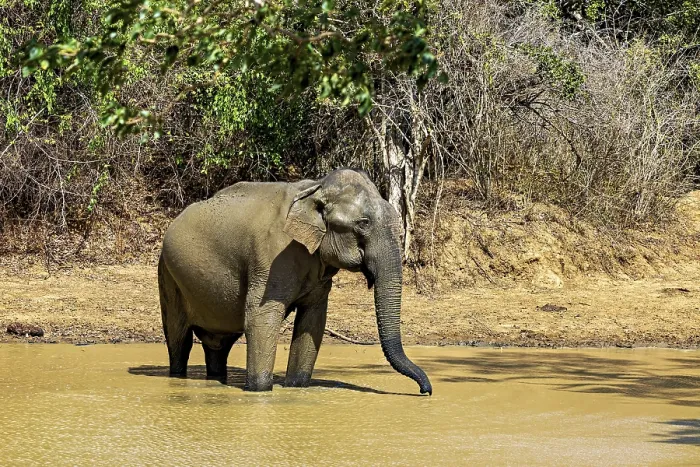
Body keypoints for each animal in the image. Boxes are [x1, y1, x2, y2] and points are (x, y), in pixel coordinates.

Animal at [157, 168, 432, 395]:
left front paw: (296, 388)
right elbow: (261, 317)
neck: (315, 188)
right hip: (167, 274)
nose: (425, 391)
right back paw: (178, 375)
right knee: (179, 340)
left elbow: (313, 321)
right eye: (363, 223)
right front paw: (259, 391)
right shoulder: (271, 257)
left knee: (217, 345)